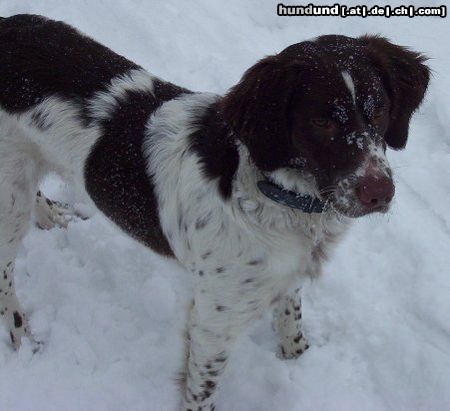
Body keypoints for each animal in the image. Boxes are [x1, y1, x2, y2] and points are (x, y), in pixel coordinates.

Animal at [0, 13, 428, 411]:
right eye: (321, 120)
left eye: (380, 109)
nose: (380, 193)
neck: (274, 192)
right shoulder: (213, 322)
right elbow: (201, 391)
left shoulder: (287, 276)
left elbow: (290, 321)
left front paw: (299, 360)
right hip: (9, 201)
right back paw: (24, 337)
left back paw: (52, 217)